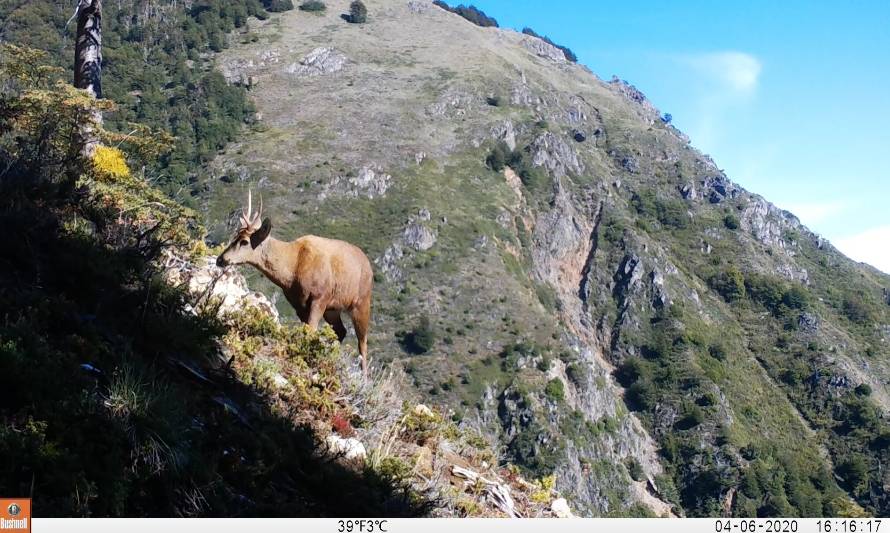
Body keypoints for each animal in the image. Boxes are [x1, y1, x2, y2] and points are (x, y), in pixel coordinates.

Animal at [217, 190, 372, 374]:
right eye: (235, 236)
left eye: (244, 241)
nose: (221, 259)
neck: (292, 269)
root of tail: (369, 266)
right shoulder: (298, 303)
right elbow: (304, 332)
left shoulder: (320, 297)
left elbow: (311, 330)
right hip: (333, 308)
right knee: (341, 331)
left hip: (361, 303)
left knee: (362, 343)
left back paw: (363, 376)